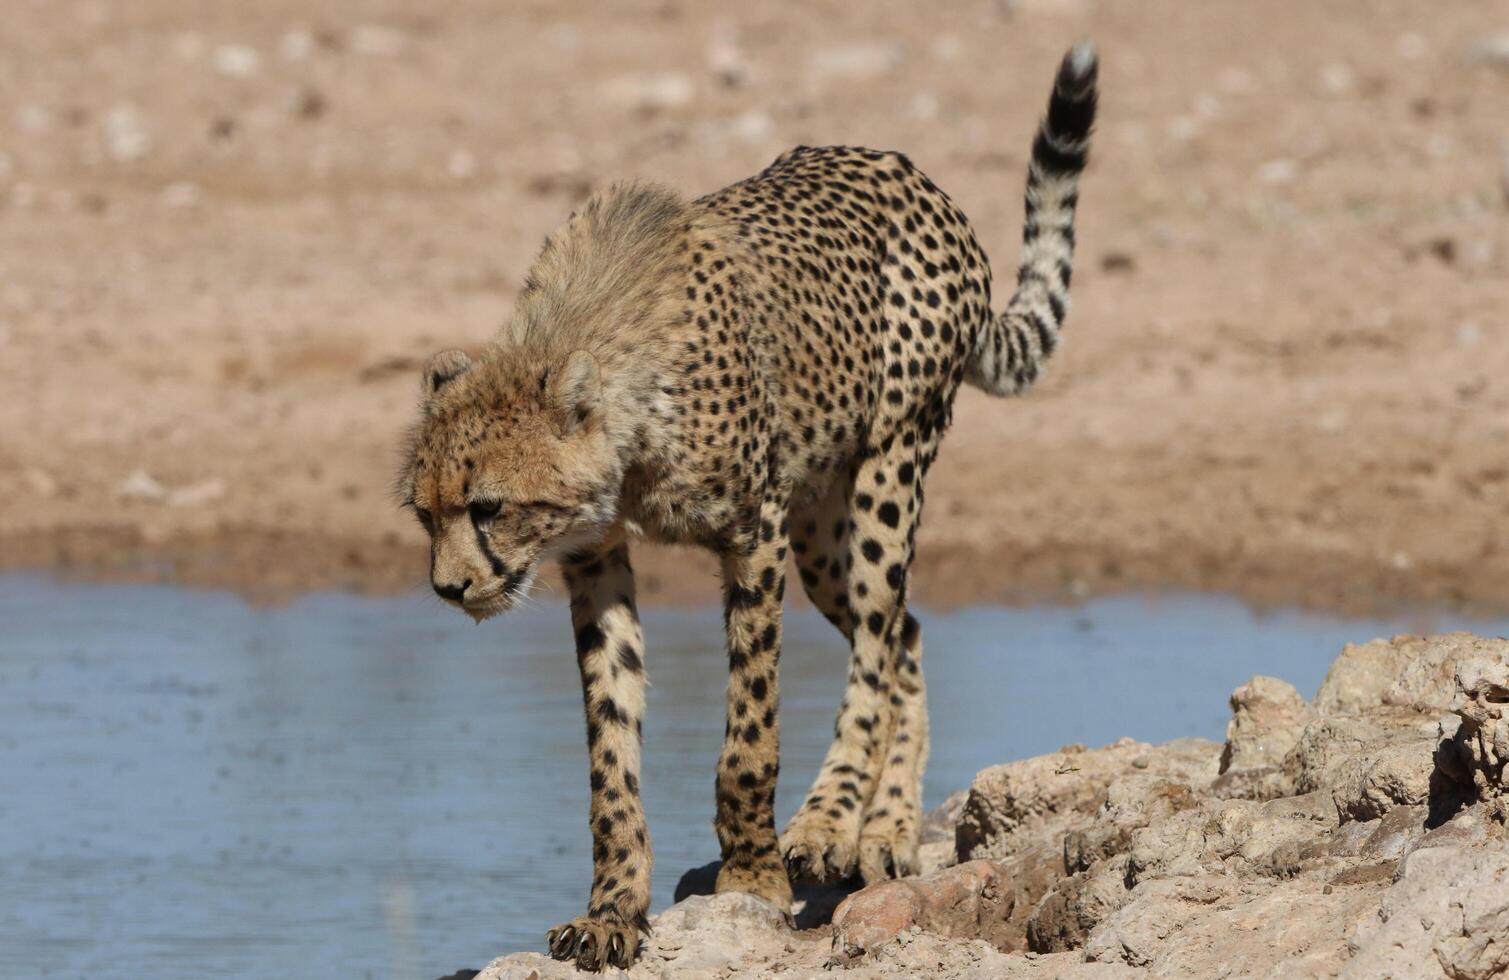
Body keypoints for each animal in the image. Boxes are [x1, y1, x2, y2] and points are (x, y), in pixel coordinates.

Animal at [398, 43, 1098, 972]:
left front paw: (753, 876)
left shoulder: (754, 538)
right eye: (424, 514)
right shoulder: (596, 558)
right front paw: (612, 911)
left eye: (487, 507)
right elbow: (610, 753)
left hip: (888, 468)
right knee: (904, 634)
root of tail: (911, 174)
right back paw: (887, 831)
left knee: (876, 645)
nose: (449, 589)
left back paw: (830, 823)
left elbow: (749, 735)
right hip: (820, 528)